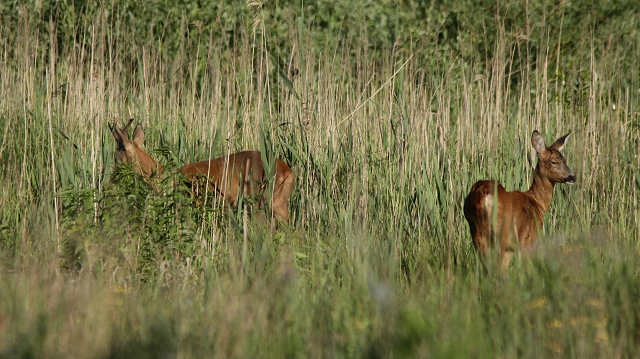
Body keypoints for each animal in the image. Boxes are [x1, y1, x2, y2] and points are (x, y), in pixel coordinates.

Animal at [462, 131, 576, 272]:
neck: (537, 202)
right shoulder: (529, 240)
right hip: (503, 233)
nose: (572, 177)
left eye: (565, 161)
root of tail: (482, 193)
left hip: (476, 231)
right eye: (554, 161)